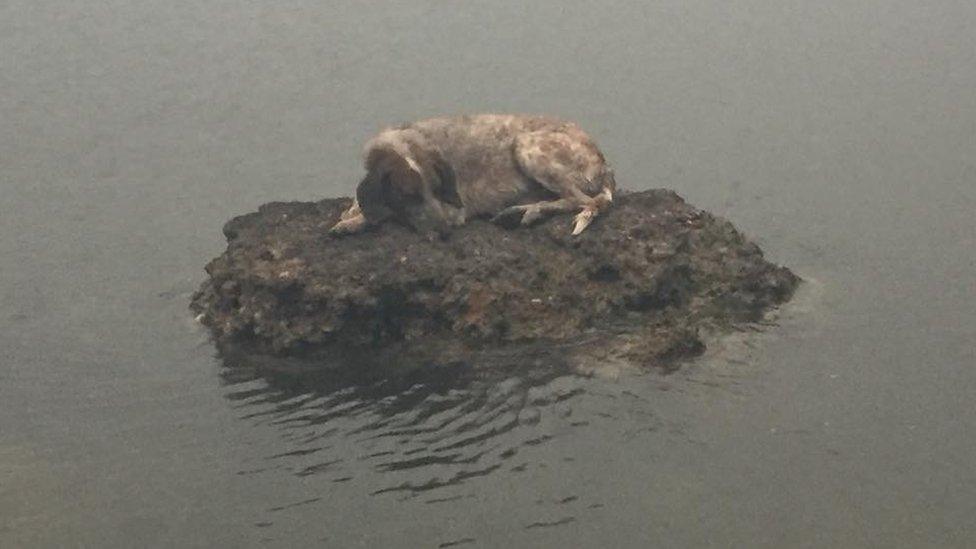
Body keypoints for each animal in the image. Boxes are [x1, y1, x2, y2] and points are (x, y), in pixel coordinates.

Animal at [332, 113, 612, 235]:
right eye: (407, 195)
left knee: (583, 201)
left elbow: (385, 214)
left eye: (437, 188)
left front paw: (354, 221)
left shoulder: (455, 209)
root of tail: (604, 163)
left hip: (526, 146)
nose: (445, 229)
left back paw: (527, 211)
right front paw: (352, 212)